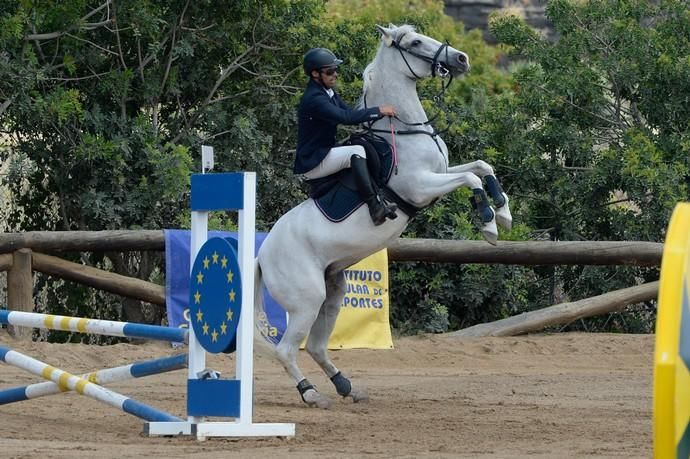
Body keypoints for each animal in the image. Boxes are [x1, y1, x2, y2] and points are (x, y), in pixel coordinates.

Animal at [254, 24, 510, 410]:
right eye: (415, 42)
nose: (461, 59)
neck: (404, 130)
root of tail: (262, 254)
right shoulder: (421, 186)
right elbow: (471, 178)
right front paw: (488, 222)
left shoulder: (441, 173)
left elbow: (482, 167)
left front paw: (503, 211)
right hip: (306, 300)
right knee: (286, 350)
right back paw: (311, 394)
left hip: (332, 291)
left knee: (316, 346)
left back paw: (346, 386)